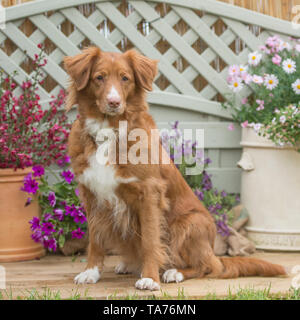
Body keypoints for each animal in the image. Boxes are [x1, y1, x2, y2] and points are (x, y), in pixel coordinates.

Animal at [63, 47, 286, 290]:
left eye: (125, 78)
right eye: (99, 78)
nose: (114, 102)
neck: (109, 131)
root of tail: (213, 252)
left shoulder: (149, 194)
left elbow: (151, 240)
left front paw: (150, 278)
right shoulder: (92, 195)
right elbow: (95, 239)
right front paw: (91, 272)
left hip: (190, 223)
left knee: (208, 267)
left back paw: (174, 272)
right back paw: (130, 265)